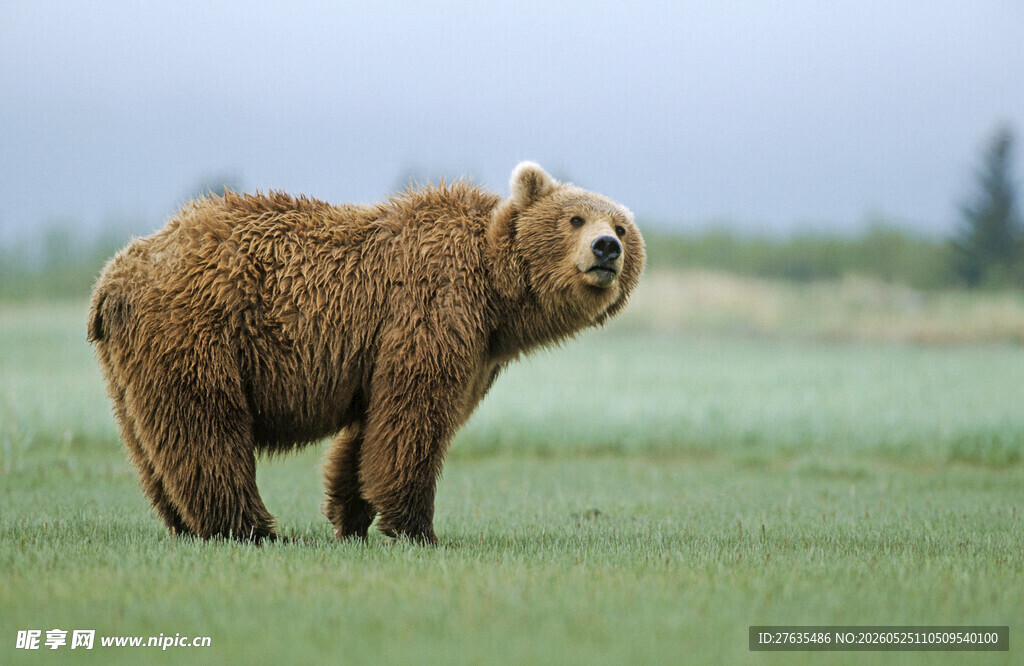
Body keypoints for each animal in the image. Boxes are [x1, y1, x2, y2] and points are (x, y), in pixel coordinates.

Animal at [87, 162, 645, 544]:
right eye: (575, 218)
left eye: (621, 226)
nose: (606, 249)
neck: (496, 294)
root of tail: (115, 275)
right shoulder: (432, 306)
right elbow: (413, 416)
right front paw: (417, 528)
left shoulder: (472, 352)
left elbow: (370, 431)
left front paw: (349, 515)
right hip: (201, 328)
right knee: (206, 427)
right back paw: (253, 528)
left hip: (129, 363)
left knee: (150, 443)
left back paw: (185, 523)